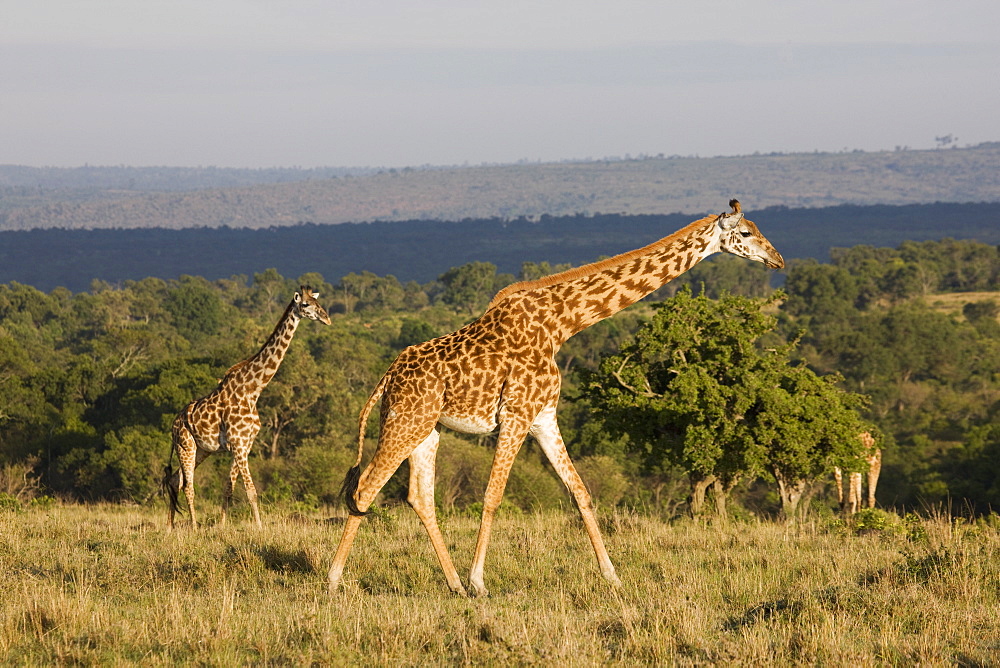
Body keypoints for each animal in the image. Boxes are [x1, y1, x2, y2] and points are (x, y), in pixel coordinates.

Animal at [164, 284, 332, 528]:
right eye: (306, 304)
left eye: (319, 302)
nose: (327, 319)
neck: (253, 391)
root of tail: (173, 424)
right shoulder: (239, 444)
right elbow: (251, 491)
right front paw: (260, 529)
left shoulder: (245, 444)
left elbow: (228, 488)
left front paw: (222, 526)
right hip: (185, 446)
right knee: (187, 485)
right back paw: (194, 528)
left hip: (202, 449)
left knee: (175, 479)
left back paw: (170, 528)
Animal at [328, 198, 780, 596]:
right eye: (744, 232)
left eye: (758, 229)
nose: (777, 260)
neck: (561, 325)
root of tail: (387, 378)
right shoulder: (516, 414)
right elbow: (492, 496)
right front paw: (480, 582)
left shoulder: (544, 416)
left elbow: (580, 491)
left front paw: (612, 577)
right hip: (406, 421)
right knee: (366, 489)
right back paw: (335, 580)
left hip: (428, 429)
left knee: (420, 499)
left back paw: (452, 584)